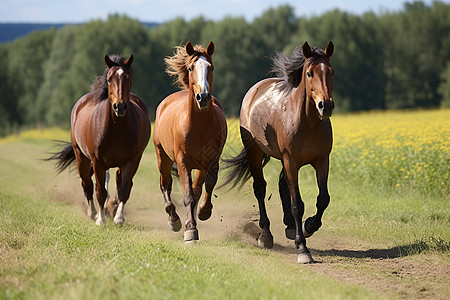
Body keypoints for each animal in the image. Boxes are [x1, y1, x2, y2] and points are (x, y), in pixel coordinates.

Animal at [48, 55, 151, 226]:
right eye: (109, 79)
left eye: (129, 78)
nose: (119, 107)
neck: (116, 128)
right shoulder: (97, 161)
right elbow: (100, 191)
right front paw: (101, 220)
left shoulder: (131, 160)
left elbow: (124, 189)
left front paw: (119, 218)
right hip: (81, 156)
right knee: (87, 184)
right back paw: (93, 213)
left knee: (118, 182)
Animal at [153, 41, 227, 244]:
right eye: (190, 67)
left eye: (211, 67)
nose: (203, 97)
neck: (199, 125)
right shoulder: (182, 161)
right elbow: (188, 195)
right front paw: (190, 229)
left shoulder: (211, 161)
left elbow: (207, 186)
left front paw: (203, 212)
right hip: (163, 157)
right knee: (165, 184)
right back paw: (174, 219)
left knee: (197, 188)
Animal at [221, 41, 334, 262]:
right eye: (309, 73)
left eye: (331, 71)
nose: (325, 105)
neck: (308, 122)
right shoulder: (291, 160)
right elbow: (297, 204)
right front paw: (303, 248)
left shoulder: (321, 160)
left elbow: (323, 199)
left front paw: (308, 227)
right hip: (256, 152)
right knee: (260, 188)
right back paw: (265, 235)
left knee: (282, 185)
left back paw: (290, 227)